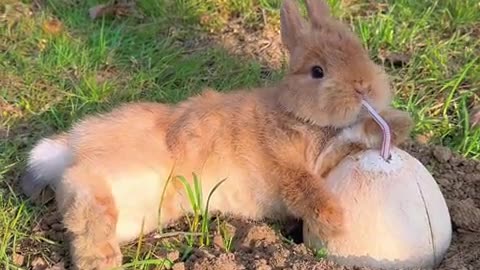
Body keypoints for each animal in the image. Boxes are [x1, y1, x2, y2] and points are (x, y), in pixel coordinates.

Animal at [20, 0, 412, 270]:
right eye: (318, 71)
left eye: (360, 50)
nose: (364, 88)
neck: (293, 111)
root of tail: (71, 145)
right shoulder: (288, 162)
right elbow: (307, 186)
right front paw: (335, 222)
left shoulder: (325, 153)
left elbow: (347, 139)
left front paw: (395, 123)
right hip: (114, 172)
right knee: (81, 194)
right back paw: (102, 261)